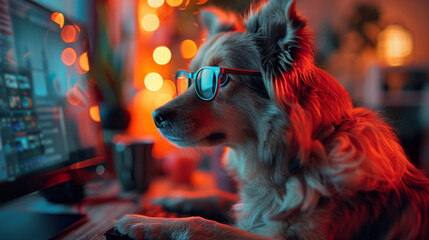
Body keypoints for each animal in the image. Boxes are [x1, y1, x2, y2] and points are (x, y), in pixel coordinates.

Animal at [114, 0, 428, 238]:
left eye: (217, 80)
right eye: (188, 79)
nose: (156, 117)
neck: (301, 156)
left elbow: (205, 225)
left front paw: (144, 221)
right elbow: (222, 196)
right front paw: (174, 199)